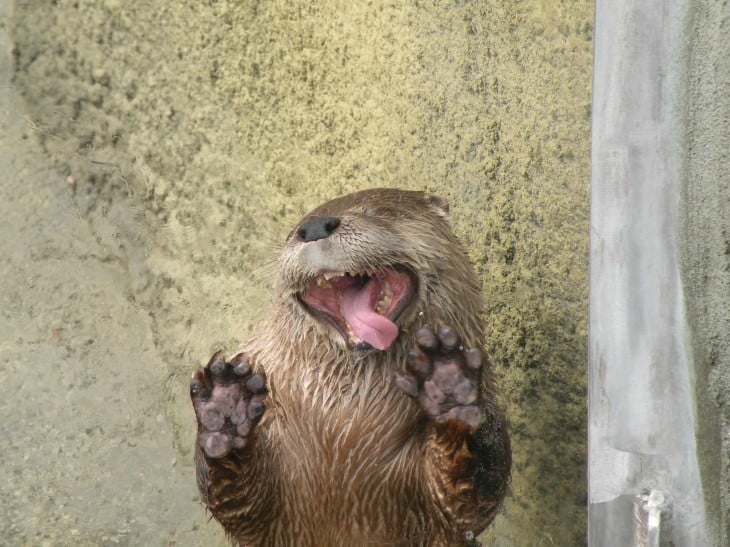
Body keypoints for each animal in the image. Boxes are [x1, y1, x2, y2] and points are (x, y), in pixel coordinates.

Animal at [191, 187, 510, 544]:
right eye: (294, 230)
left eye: (379, 212)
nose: (314, 227)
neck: (342, 421)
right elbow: (235, 502)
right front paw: (226, 407)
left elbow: (470, 498)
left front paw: (448, 383)